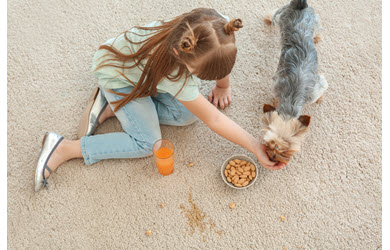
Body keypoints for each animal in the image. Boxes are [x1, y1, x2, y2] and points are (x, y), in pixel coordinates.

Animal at [260, 0, 328, 165]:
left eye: (286, 150)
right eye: (269, 144)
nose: (272, 157)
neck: (290, 101)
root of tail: (300, 5)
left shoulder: (317, 88)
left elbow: (321, 91)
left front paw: (321, 98)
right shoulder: (276, 86)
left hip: (314, 20)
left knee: (317, 30)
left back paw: (316, 37)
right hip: (280, 17)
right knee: (274, 15)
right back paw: (268, 18)